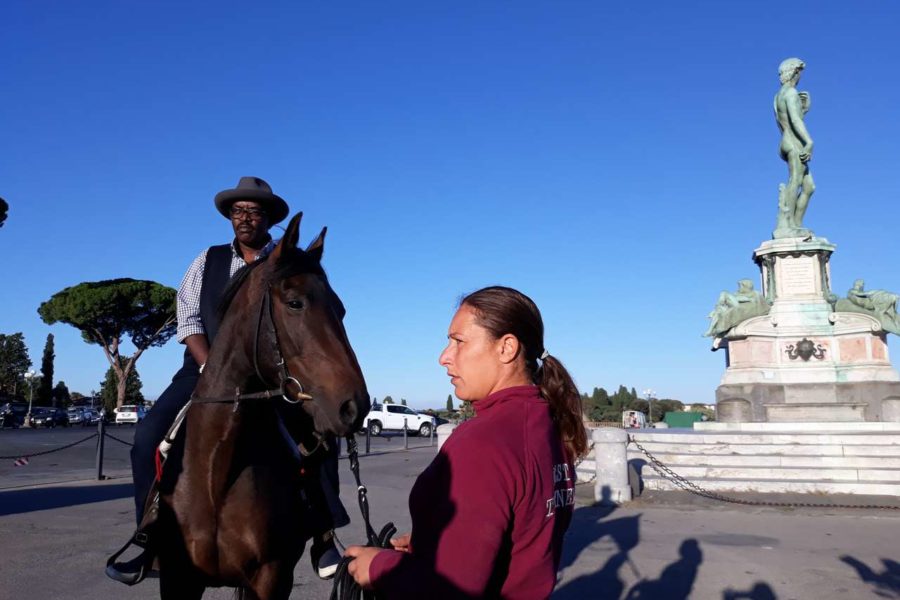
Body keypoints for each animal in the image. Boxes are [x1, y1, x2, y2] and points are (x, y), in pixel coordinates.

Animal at [156, 214, 368, 600]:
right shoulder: (178, 579)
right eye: (295, 303)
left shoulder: (272, 578)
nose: (354, 405)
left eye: (341, 309)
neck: (216, 471)